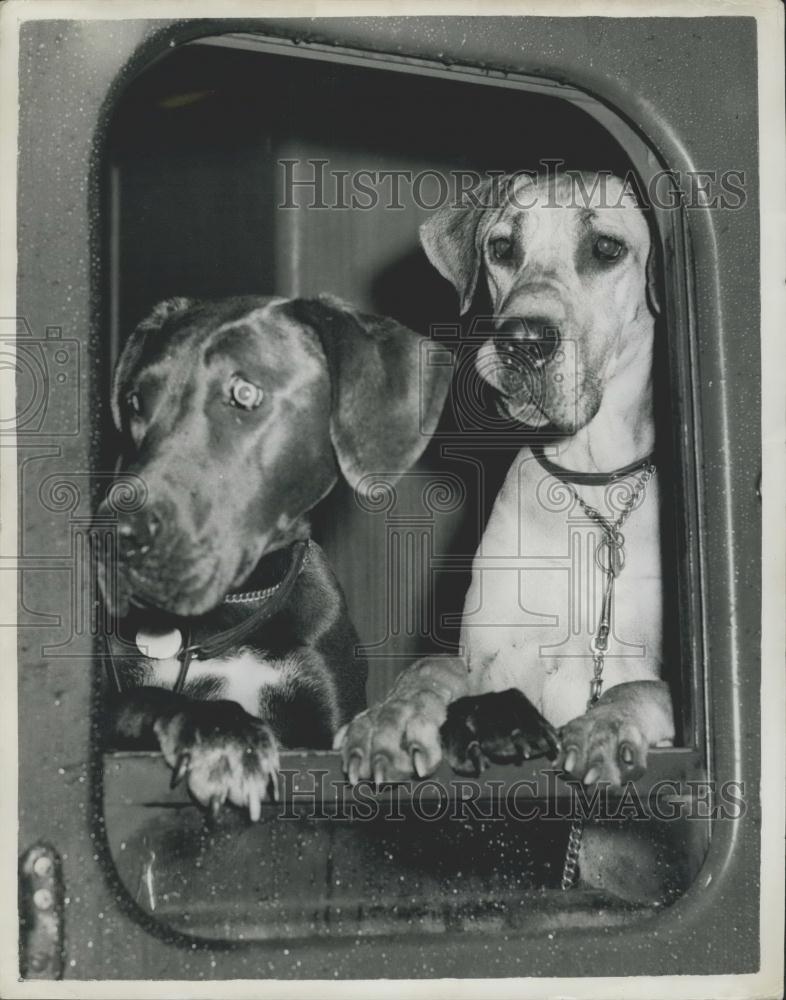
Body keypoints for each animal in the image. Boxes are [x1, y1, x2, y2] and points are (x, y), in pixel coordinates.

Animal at [97, 292, 450, 816]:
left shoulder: (323, 719)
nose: (111, 536)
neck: (236, 610)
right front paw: (224, 735)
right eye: (135, 402)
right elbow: (152, 699)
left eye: (245, 393)